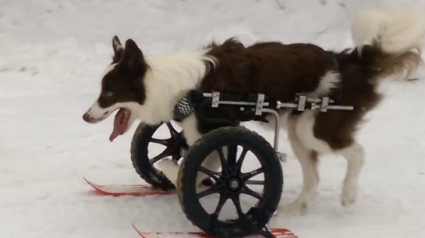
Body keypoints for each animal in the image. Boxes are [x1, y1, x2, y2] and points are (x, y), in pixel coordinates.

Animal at [83, 8, 424, 214]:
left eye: (108, 93)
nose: (86, 116)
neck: (172, 85)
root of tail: (352, 59)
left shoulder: (214, 131)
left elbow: (190, 165)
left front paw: (179, 173)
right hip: (299, 131)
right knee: (313, 175)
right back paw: (296, 207)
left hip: (315, 127)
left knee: (357, 153)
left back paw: (348, 193)